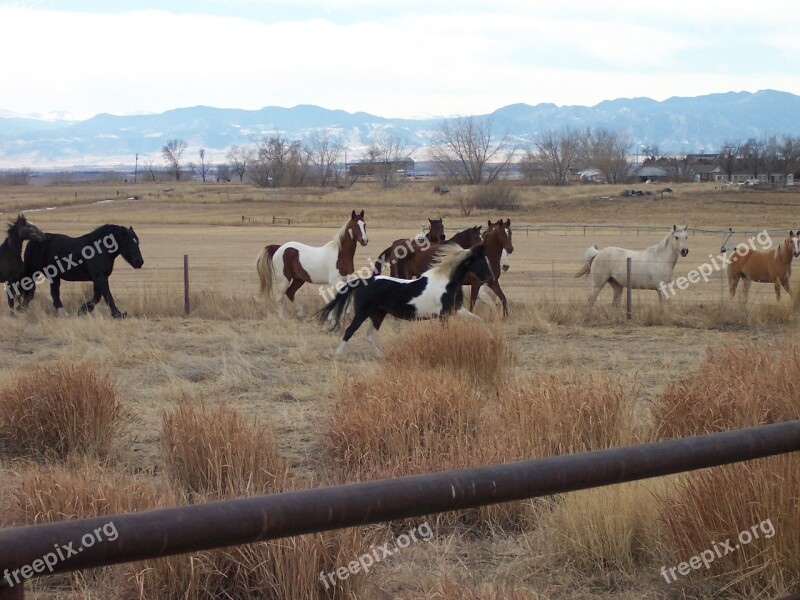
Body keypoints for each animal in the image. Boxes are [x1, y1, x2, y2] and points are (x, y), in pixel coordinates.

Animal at [15, 224, 144, 318]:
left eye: (137, 241)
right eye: (128, 242)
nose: (140, 262)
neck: (100, 249)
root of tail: (32, 241)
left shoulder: (99, 278)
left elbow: (97, 297)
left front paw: (83, 310)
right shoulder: (100, 277)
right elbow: (107, 296)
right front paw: (118, 314)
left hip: (54, 276)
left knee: (53, 294)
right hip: (34, 272)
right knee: (29, 290)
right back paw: (20, 308)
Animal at [318, 244, 494, 356]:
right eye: (482, 261)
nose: (491, 279)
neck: (446, 282)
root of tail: (362, 282)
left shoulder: (455, 310)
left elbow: (478, 320)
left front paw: (490, 336)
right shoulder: (444, 315)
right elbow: (446, 333)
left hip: (378, 314)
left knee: (368, 335)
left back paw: (380, 355)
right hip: (363, 313)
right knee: (350, 330)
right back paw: (338, 355)